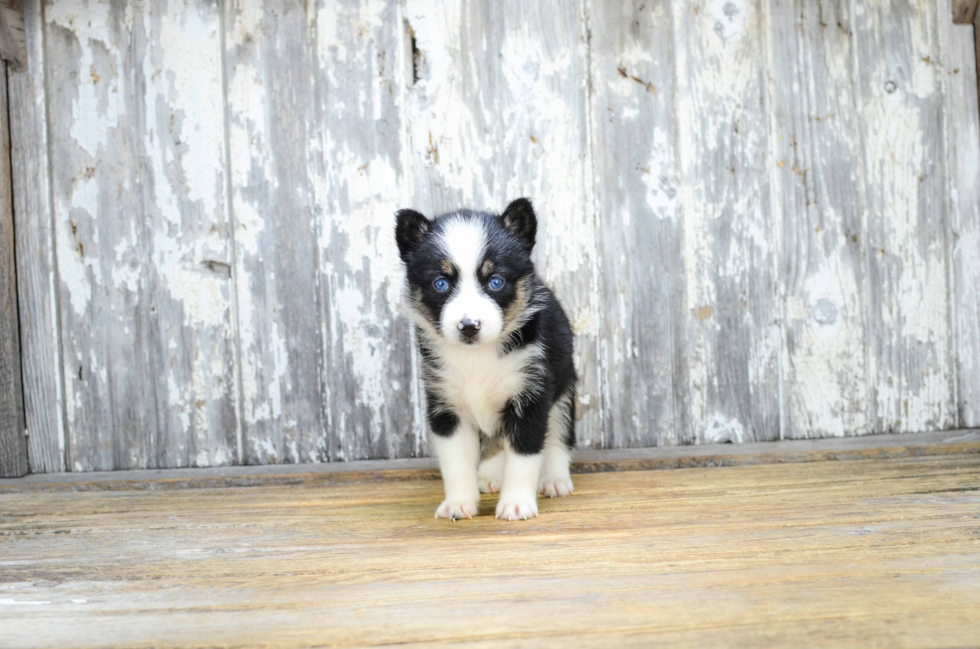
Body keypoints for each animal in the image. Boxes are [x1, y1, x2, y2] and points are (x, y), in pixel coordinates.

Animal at [392, 197, 576, 520]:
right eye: (441, 284)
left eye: (495, 281)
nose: (469, 326)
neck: (476, 356)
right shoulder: (446, 407)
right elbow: (455, 462)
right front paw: (458, 503)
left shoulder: (531, 397)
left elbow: (524, 457)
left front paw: (516, 504)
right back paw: (491, 475)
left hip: (564, 387)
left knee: (558, 436)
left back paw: (555, 480)